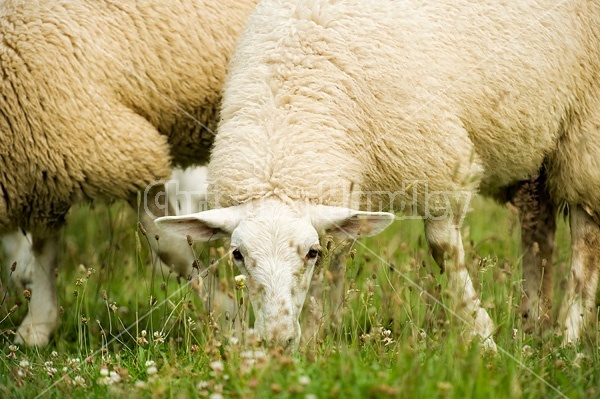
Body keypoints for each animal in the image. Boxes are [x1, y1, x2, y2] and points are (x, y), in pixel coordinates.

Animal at [0, 0, 255, 346]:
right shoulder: (46, 169)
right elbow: (44, 249)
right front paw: (37, 325)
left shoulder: (121, 148)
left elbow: (170, 244)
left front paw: (229, 319)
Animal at [157, 0, 600, 350]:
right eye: (237, 254)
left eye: (309, 252)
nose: (276, 341)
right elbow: (337, 262)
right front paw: (316, 339)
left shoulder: (439, 163)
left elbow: (443, 249)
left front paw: (481, 336)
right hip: (538, 145)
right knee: (539, 231)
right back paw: (534, 324)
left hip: (583, 129)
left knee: (585, 235)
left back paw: (568, 336)